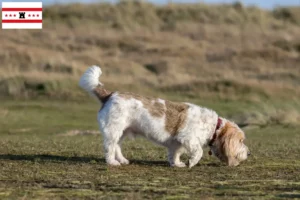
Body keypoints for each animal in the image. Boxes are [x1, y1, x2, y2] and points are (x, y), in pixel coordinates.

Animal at [78, 65, 250, 167]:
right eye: (241, 141)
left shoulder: (177, 143)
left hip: (122, 132)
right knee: (109, 147)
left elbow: (175, 153)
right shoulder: (188, 138)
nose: (249, 153)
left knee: (117, 147)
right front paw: (191, 162)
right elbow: (198, 152)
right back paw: (112, 162)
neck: (214, 127)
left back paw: (122, 160)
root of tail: (109, 95)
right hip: (113, 131)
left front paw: (177, 164)